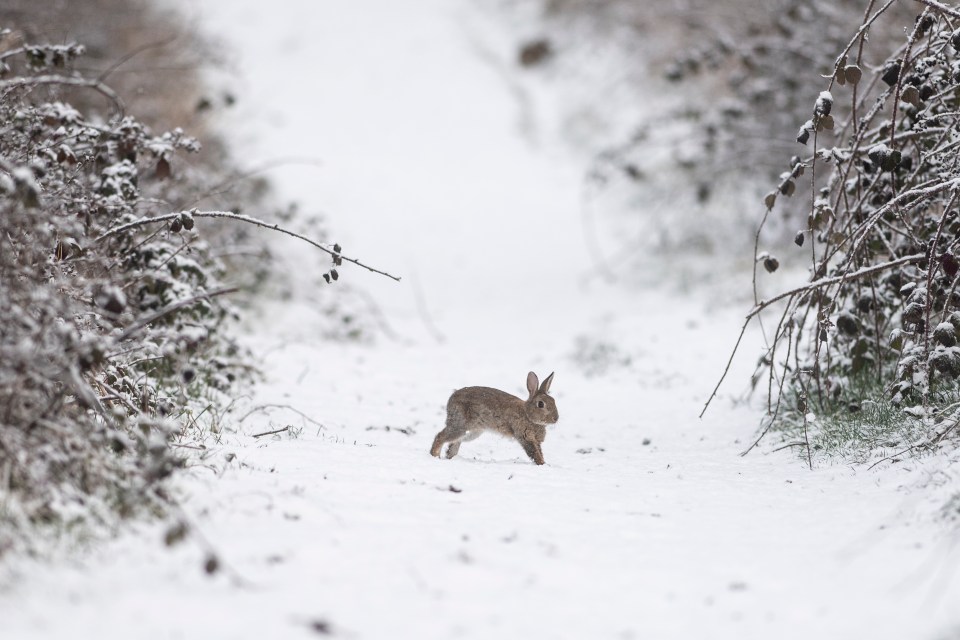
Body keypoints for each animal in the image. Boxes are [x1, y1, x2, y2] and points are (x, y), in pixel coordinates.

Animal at [432, 370, 560, 464]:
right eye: (541, 404)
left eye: (553, 400)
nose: (556, 418)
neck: (527, 414)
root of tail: (451, 398)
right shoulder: (524, 437)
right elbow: (534, 453)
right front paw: (542, 464)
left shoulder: (535, 441)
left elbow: (539, 452)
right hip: (460, 425)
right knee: (440, 436)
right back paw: (435, 456)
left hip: (472, 432)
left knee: (454, 443)